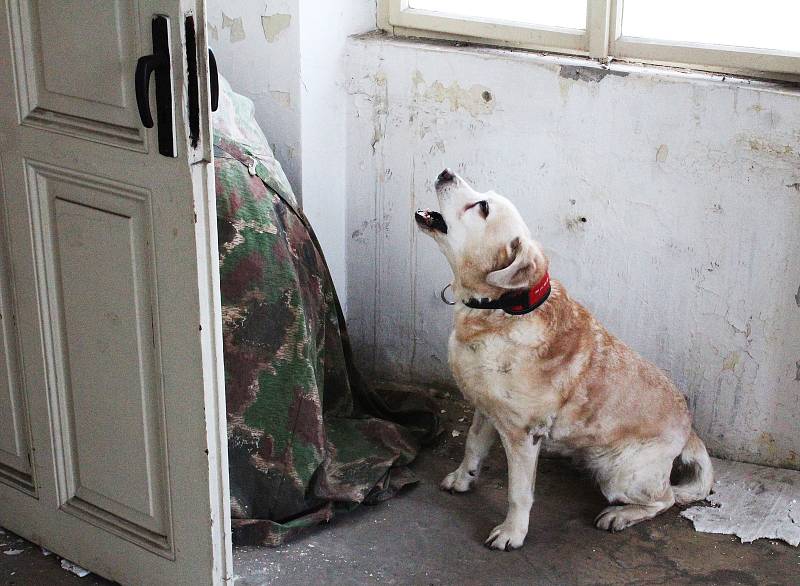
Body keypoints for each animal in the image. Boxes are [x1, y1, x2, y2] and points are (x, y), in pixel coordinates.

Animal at [412, 168, 712, 548]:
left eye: (482, 207)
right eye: (484, 198)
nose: (446, 172)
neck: (503, 308)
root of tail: (689, 431)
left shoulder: (524, 434)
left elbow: (518, 493)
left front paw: (512, 532)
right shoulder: (486, 408)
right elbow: (472, 446)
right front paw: (463, 478)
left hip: (619, 472)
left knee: (666, 498)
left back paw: (621, 514)